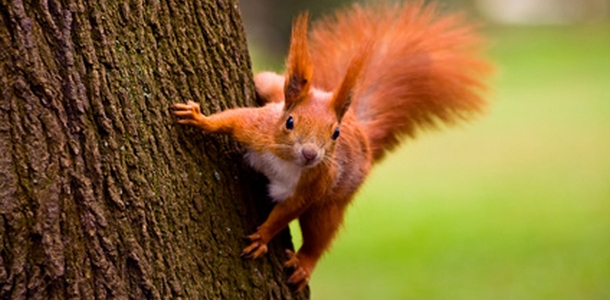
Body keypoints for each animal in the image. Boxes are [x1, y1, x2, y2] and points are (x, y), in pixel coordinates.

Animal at [169, 1, 486, 292]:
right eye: (289, 122)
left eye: (335, 134)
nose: (310, 154)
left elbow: (286, 212)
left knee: (320, 234)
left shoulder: (314, 184)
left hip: (332, 202)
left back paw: (304, 264)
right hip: (273, 88)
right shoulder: (258, 128)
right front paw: (199, 118)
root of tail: (361, 130)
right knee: (267, 82)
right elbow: (231, 120)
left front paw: (263, 237)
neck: (287, 161)